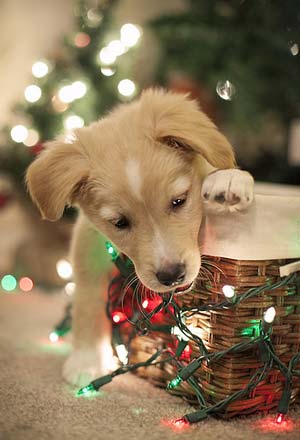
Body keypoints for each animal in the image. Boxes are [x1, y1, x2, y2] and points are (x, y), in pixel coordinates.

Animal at [25, 89, 253, 384]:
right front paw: (87, 360)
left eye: (179, 201)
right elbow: (88, 300)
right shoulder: (89, 244)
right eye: (120, 222)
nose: (172, 275)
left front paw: (228, 179)